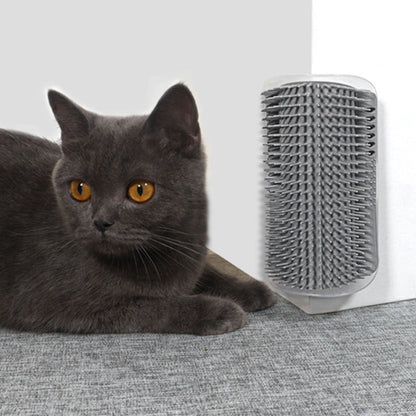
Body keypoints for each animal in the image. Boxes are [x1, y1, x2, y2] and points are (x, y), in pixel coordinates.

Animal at [0, 84, 276, 334]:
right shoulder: (55, 305)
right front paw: (218, 310)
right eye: (80, 189)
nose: (101, 221)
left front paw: (250, 288)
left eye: (140, 190)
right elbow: (150, 307)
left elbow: (207, 270)